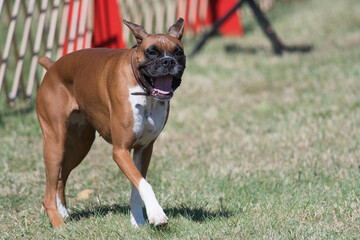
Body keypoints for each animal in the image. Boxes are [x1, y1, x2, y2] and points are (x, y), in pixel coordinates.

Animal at [36, 17, 186, 228]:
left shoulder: (143, 149)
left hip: (79, 145)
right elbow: (144, 184)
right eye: (151, 52)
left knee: (60, 177)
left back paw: (63, 213)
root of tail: (53, 67)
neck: (144, 90)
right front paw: (157, 214)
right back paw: (59, 226)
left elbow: (137, 186)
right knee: (48, 192)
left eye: (178, 52)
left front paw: (138, 222)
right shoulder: (120, 151)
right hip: (54, 144)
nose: (168, 61)